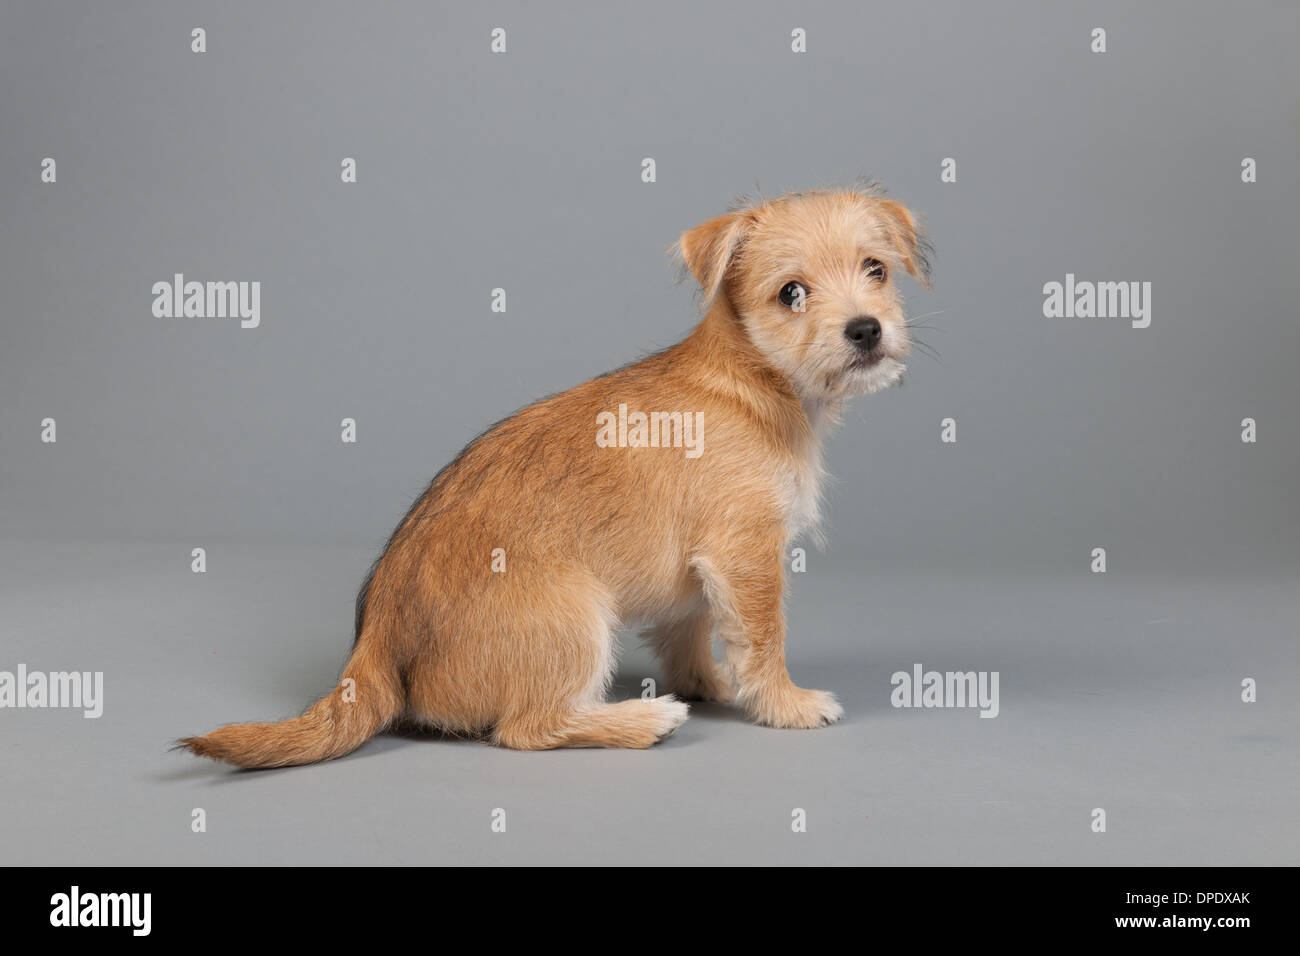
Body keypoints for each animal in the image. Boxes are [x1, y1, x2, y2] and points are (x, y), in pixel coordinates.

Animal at [185, 184, 935, 770]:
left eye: (876, 270)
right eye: (791, 294)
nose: (866, 329)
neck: (755, 381)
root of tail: (376, 638)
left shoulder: (702, 573)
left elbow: (693, 632)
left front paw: (714, 685)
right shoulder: (745, 552)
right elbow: (764, 637)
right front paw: (784, 703)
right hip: (575, 619)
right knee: (527, 729)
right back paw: (642, 722)